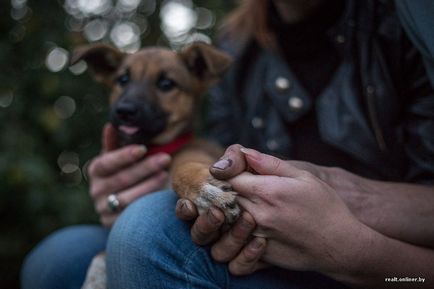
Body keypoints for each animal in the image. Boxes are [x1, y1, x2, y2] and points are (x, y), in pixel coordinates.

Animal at [71, 41, 241, 286]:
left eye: (166, 84)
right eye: (123, 79)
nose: (125, 111)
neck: (153, 149)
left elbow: (184, 169)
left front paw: (206, 192)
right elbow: (99, 256)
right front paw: (92, 283)